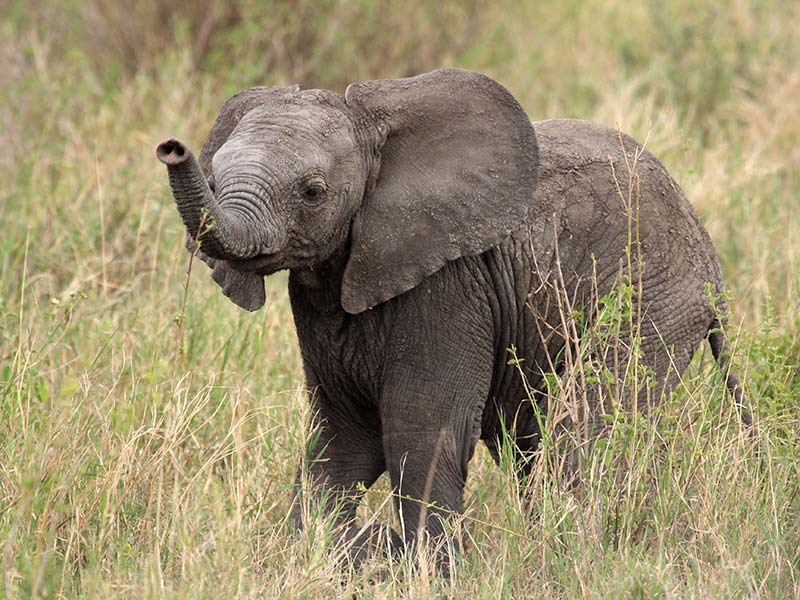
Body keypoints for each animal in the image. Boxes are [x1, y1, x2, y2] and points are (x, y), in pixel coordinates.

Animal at [156, 68, 752, 568]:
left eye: (313, 192)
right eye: (214, 179)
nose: (169, 147)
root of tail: (705, 244)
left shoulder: (451, 282)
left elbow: (420, 427)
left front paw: (428, 569)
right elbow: (344, 435)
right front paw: (327, 551)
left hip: (655, 295)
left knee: (587, 423)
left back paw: (566, 552)